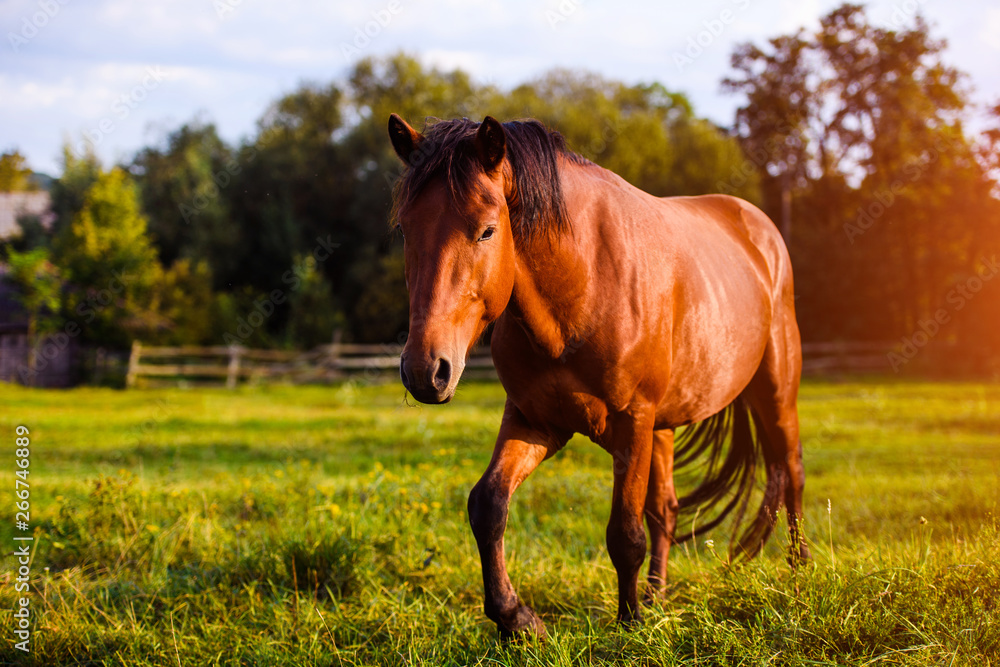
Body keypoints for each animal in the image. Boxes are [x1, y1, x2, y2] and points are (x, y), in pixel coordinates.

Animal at [387, 113, 810, 639]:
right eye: (406, 230)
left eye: (486, 231)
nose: (425, 370)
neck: (583, 286)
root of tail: (759, 228)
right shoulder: (536, 421)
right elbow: (488, 505)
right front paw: (517, 618)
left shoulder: (632, 422)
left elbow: (624, 533)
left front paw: (629, 627)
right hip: (663, 428)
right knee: (666, 509)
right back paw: (657, 597)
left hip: (775, 392)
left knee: (792, 476)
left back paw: (798, 578)